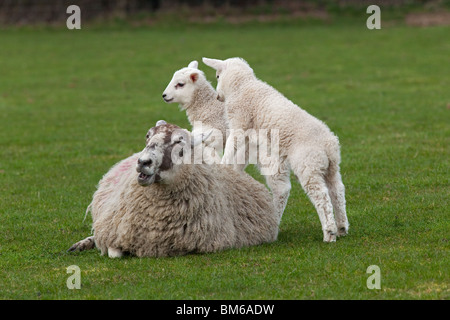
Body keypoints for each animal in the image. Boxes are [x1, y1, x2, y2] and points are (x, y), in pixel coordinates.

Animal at [203, 57, 348, 242]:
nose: (218, 97)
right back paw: (342, 227)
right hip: (332, 167)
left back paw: (329, 232)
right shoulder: (250, 133)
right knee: (337, 190)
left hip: (308, 165)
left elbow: (232, 144)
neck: (243, 86)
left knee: (321, 195)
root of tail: (328, 147)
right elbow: (242, 152)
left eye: (217, 76)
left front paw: (223, 163)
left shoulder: (240, 120)